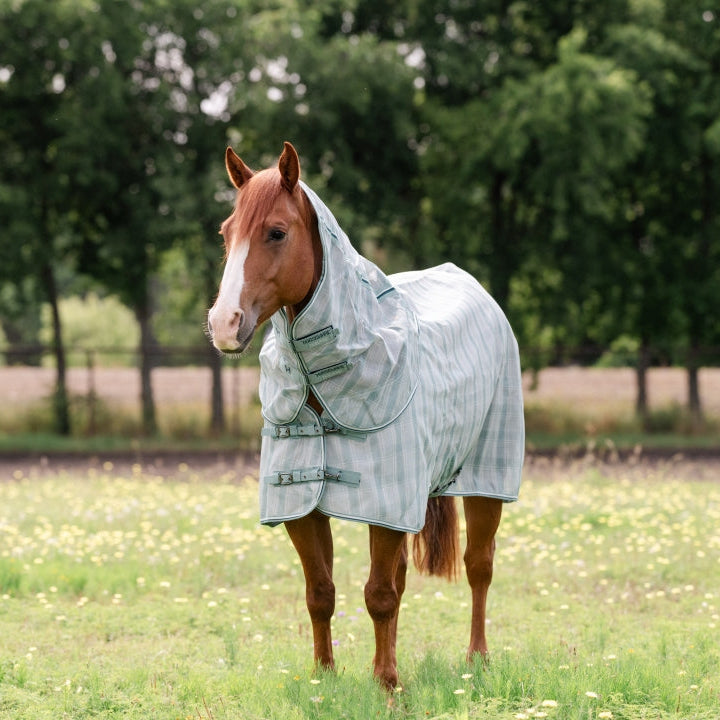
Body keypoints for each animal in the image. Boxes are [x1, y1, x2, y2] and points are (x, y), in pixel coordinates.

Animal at [207, 142, 524, 690]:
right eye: (227, 233)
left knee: (478, 566)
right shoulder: (304, 504)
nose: (224, 324)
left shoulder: (386, 506)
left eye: (276, 232)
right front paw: (325, 677)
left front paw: (387, 685)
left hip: (487, 480)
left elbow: (378, 595)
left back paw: (477, 658)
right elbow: (322, 592)